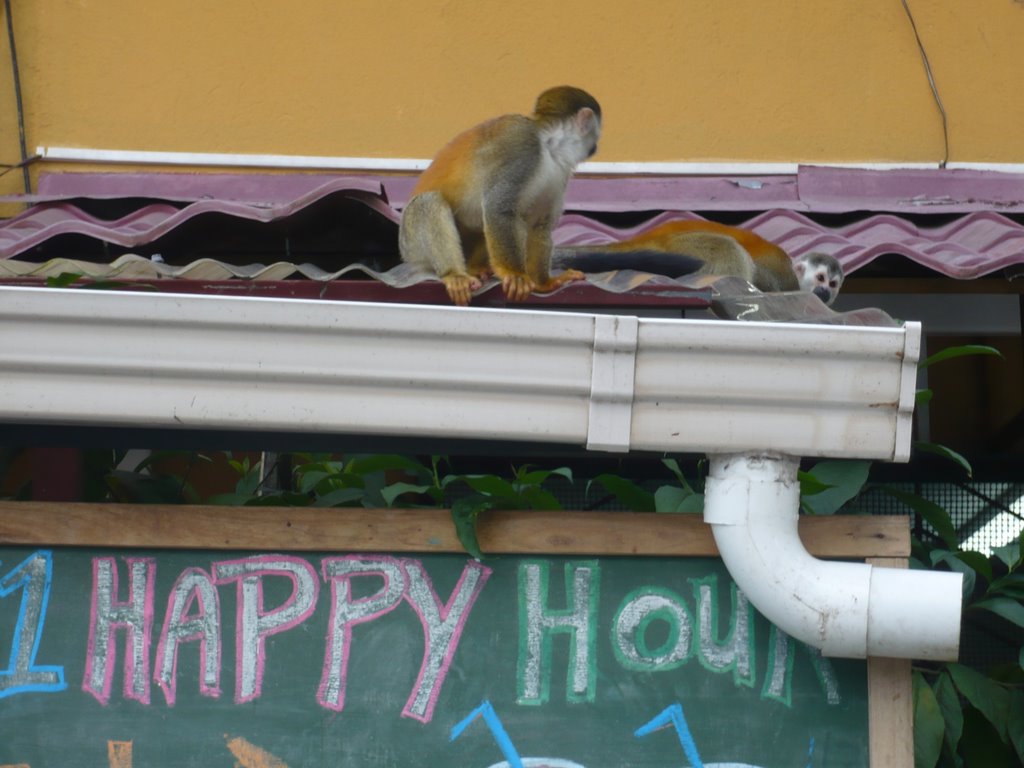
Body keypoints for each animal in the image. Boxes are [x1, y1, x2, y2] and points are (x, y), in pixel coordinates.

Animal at [401, 85, 598, 305]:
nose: (595, 147)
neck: (549, 146)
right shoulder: (524, 148)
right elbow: (498, 208)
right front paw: (514, 274)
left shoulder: (559, 173)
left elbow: (538, 224)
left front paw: (544, 283)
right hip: (411, 244)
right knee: (429, 202)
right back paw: (454, 274)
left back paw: (475, 268)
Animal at [557, 219, 843, 307]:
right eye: (820, 278)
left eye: (833, 284)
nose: (825, 291)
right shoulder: (781, 274)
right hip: (687, 247)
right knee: (730, 247)